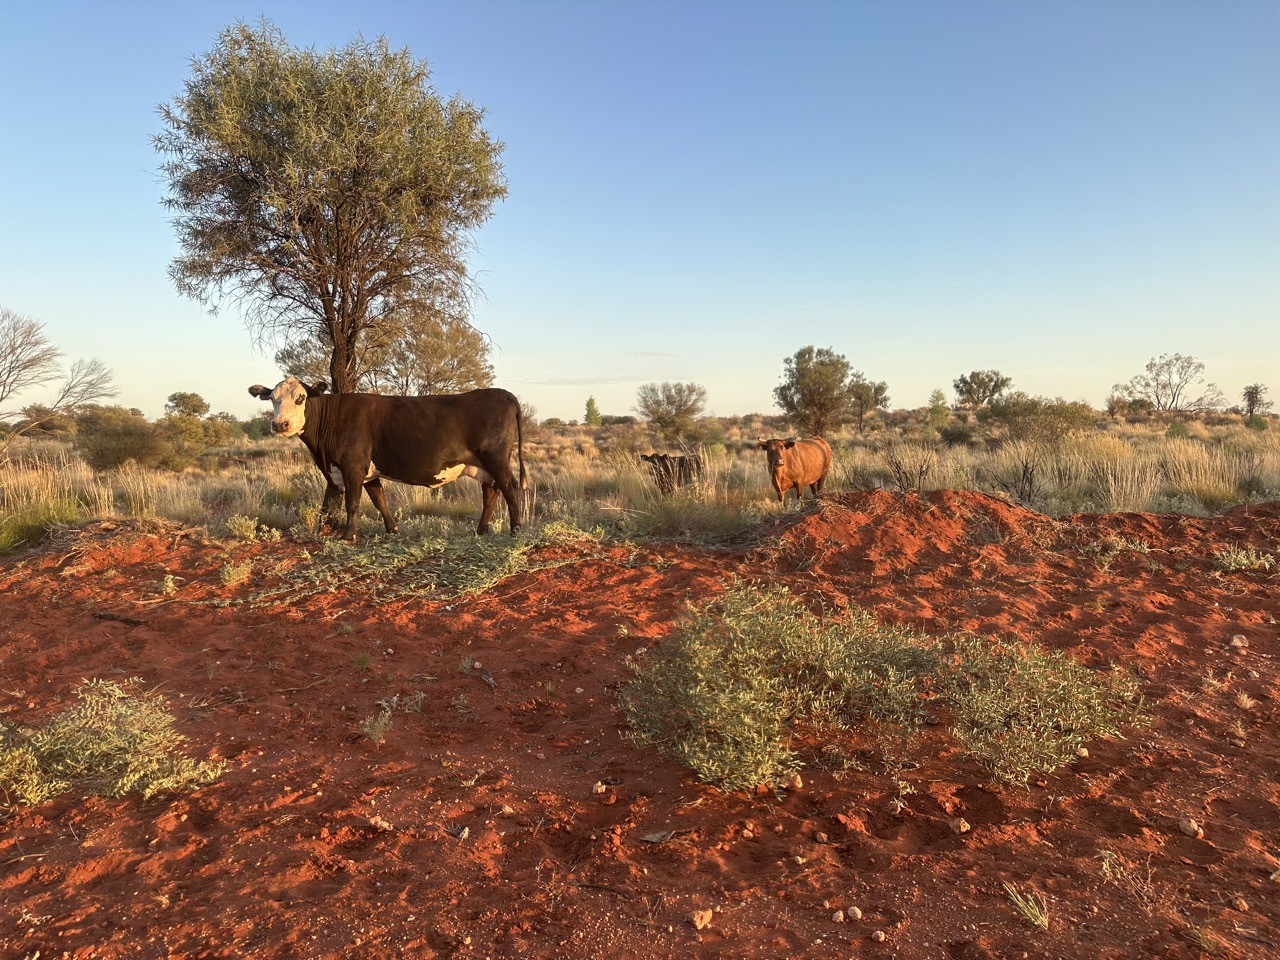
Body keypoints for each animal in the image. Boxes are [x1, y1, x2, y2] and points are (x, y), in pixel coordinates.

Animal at [244, 376, 524, 542]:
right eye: (273, 399)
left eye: (300, 398)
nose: (280, 424)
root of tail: (503, 393)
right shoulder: (368, 471)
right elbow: (380, 501)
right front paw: (392, 530)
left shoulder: (353, 466)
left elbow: (353, 503)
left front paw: (347, 536)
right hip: (483, 466)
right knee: (490, 493)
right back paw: (481, 530)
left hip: (496, 458)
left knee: (510, 488)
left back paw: (516, 529)